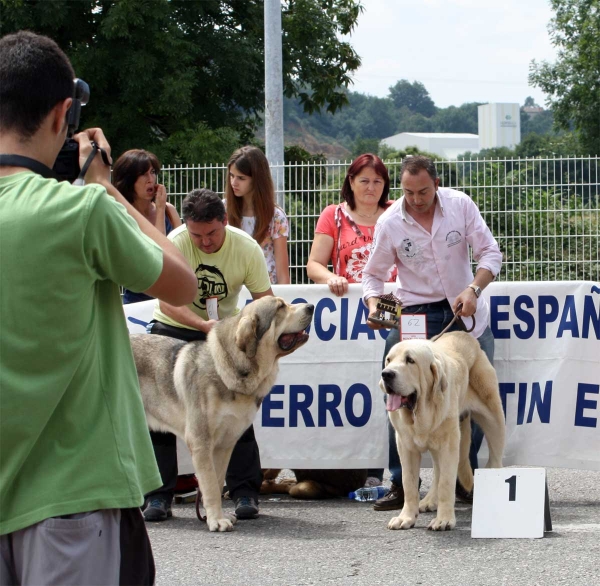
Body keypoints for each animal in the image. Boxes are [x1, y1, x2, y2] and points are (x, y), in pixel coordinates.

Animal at [128, 296, 312, 528]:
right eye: (280, 307)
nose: (311, 307)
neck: (235, 368)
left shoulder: (225, 443)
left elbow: (215, 482)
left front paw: (214, 516)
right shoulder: (201, 442)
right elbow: (209, 486)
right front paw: (216, 521)